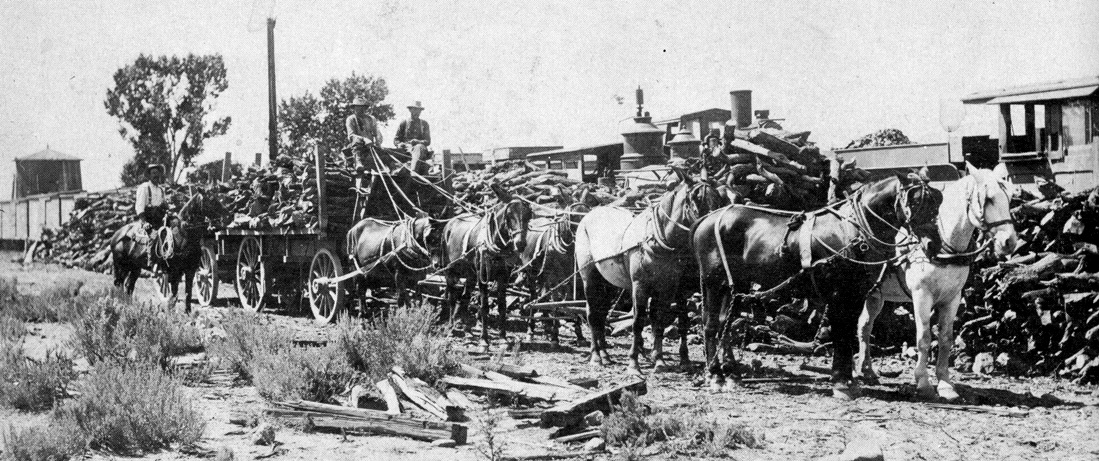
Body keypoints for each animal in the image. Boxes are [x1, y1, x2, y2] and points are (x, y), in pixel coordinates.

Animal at [441, 183, 536, 349]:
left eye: (528, 215)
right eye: (509, 215)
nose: (520, 243)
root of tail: (450, 223)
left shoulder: (503, 277)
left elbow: (502, 306)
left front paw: (503, 338)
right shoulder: (482, 276)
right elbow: (484, 306)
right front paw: (484, 340)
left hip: (470, 275)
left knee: (464, 298)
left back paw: (467, 333)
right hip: (450, 271)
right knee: (452, 298)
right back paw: (451, 328)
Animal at [520, 200, 593, 345]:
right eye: (573, 218)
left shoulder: (573, 278)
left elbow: (571, 302)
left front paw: (579, 334)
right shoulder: (554, 278)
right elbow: (556, 303)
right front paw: (555, 336)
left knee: (543, 296)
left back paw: (547, 329)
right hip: (532, 273)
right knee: (533, 296)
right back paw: (531, 330)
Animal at [575, 168, 729, 374]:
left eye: (718, 199)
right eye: (695, 199)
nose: (712, 229)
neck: (657, 238)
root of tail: (589, 215)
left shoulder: (667, 288)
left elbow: (660, 321)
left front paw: (660, 361)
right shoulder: (640, 286)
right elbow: (639, 321)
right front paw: (634, 364)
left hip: (607, 282)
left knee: (601, 312)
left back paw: (606, 355)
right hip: (590, 277)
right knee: (592, 314)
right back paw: (596, 357)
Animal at [690, 171, 940, 398]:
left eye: (937, 202)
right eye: (915, 201)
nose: (933, 244)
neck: (851, 231)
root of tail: (707, 219)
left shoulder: (856, 295)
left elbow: (848, 333)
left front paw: (848, 381)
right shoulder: (840, 295)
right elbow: (840, 334)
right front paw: (841, 382)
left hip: (734, 284)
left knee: (724, 323)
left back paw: (731, 374)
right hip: (714, 282)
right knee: (710, 325)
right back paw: (716, 375)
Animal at [857, 166, 1019, 400]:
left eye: (1009, 198)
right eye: (988, 199)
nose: (1009, 242)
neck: (943, 244)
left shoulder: (953, 298)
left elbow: (945, 338)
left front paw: (945, 384)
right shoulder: (921, 296)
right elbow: (924, 338)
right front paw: (923, 383)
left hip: (875, 296)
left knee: (864, 326)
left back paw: (867, 371)